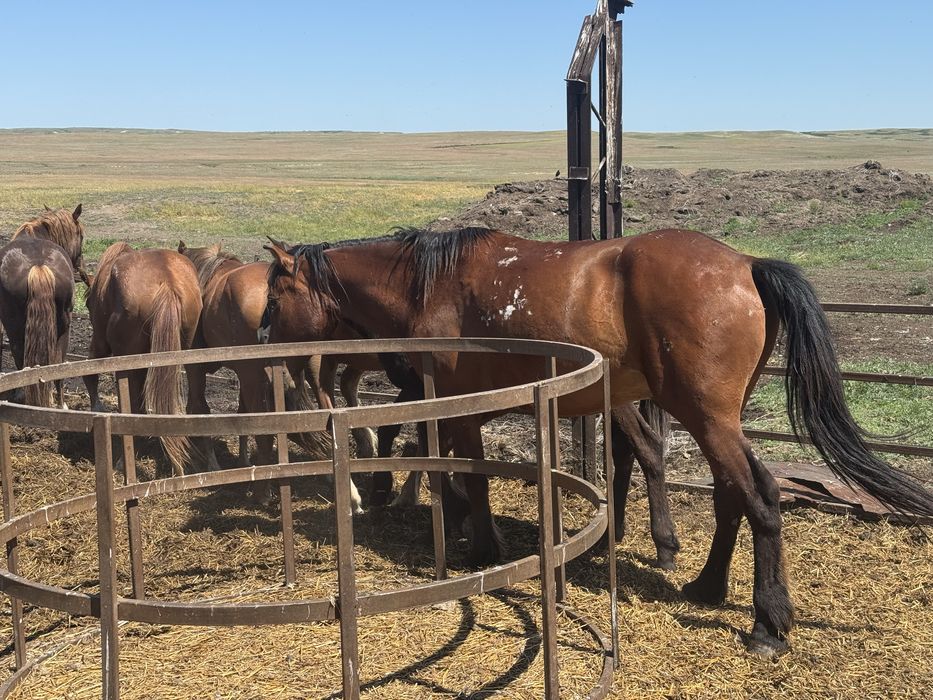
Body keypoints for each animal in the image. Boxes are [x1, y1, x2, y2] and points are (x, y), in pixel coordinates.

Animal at [0, 237, 74, 407]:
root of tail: (39, 265)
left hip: (15, 332)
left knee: (21, 360)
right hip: (63, 331)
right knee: (59, 368)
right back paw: (61, 405)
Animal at [262, 227, 933, 657]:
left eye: (274, 293)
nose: (264, 339)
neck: (433, 285)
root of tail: (745, 264)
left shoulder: (460, 403)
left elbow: (470, 474)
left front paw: (481, 544)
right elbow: (447, 466)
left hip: (707, 417)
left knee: (761, 498)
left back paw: (767, 623)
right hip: (719, 419)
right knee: (731, 497)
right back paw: (707, 587)